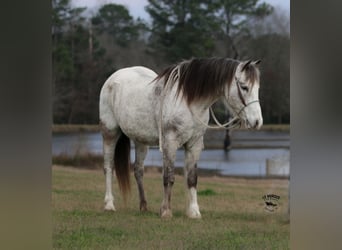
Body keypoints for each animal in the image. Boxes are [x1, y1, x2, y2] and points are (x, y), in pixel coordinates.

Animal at [98, 57, 262, 218]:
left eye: (257, 88)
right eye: (244, 87)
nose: (257, 122)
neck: (188, 101)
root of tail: (113, 78)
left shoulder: (194, 144)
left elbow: (192, 178)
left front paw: (194, 212)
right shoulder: (170, 143)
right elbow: (169, 177)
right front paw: (166, 211)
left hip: (141, 141)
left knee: (138, 170)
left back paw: (144, 206)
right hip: (110, 133)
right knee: (108, 167)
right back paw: (109, 204)